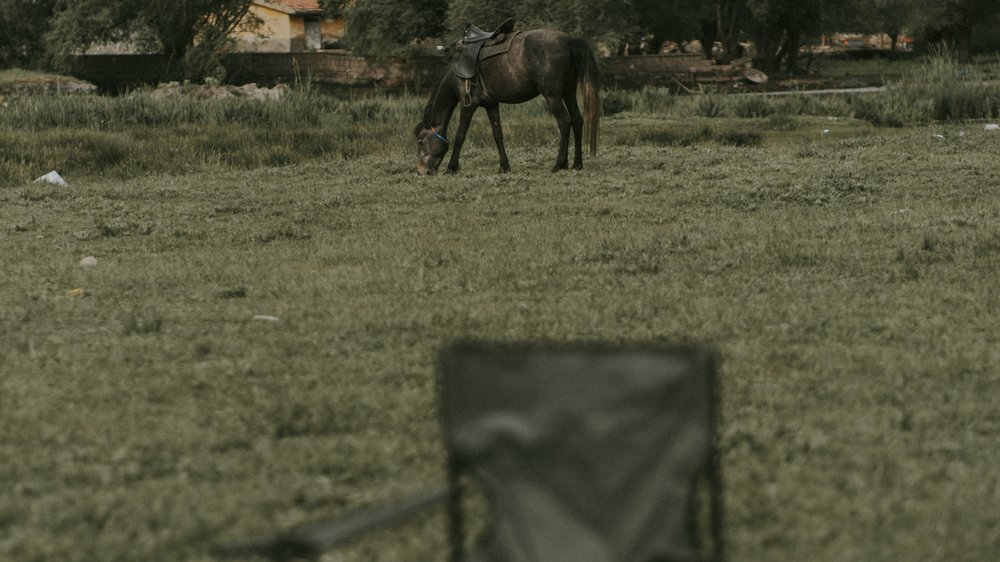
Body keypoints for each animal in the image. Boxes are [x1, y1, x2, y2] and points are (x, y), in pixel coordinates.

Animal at [414, 26, 600, 174]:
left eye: (421, 140)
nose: (421, 171)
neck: (457, 75)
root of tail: (569, 40)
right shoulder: (491, 105)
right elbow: (498, 135)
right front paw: (504, 166)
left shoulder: (468, 106)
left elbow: (460, 136)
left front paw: (451, 167)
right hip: (568, 92)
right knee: (577, 120)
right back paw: (577, 164)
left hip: (552, 95)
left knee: (564, 122)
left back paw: (559, 164)